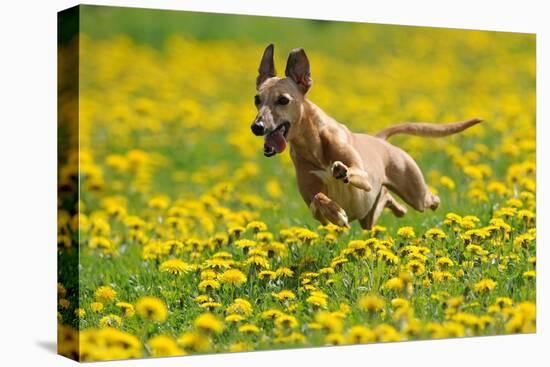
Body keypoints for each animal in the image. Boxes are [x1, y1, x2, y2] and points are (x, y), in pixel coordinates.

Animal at [251, 44, 484, 229]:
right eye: (257, 99)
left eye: (283, 100)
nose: (256, 127)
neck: (313, 145)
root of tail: (379, 139)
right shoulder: (313, 205)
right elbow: (318, 200)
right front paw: (337, 213)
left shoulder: (363, 176)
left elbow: (353, 172)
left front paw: (341, 171)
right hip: (368, 218)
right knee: (386, 200)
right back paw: (396, 208)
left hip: (416, 194)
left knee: (431, 199)